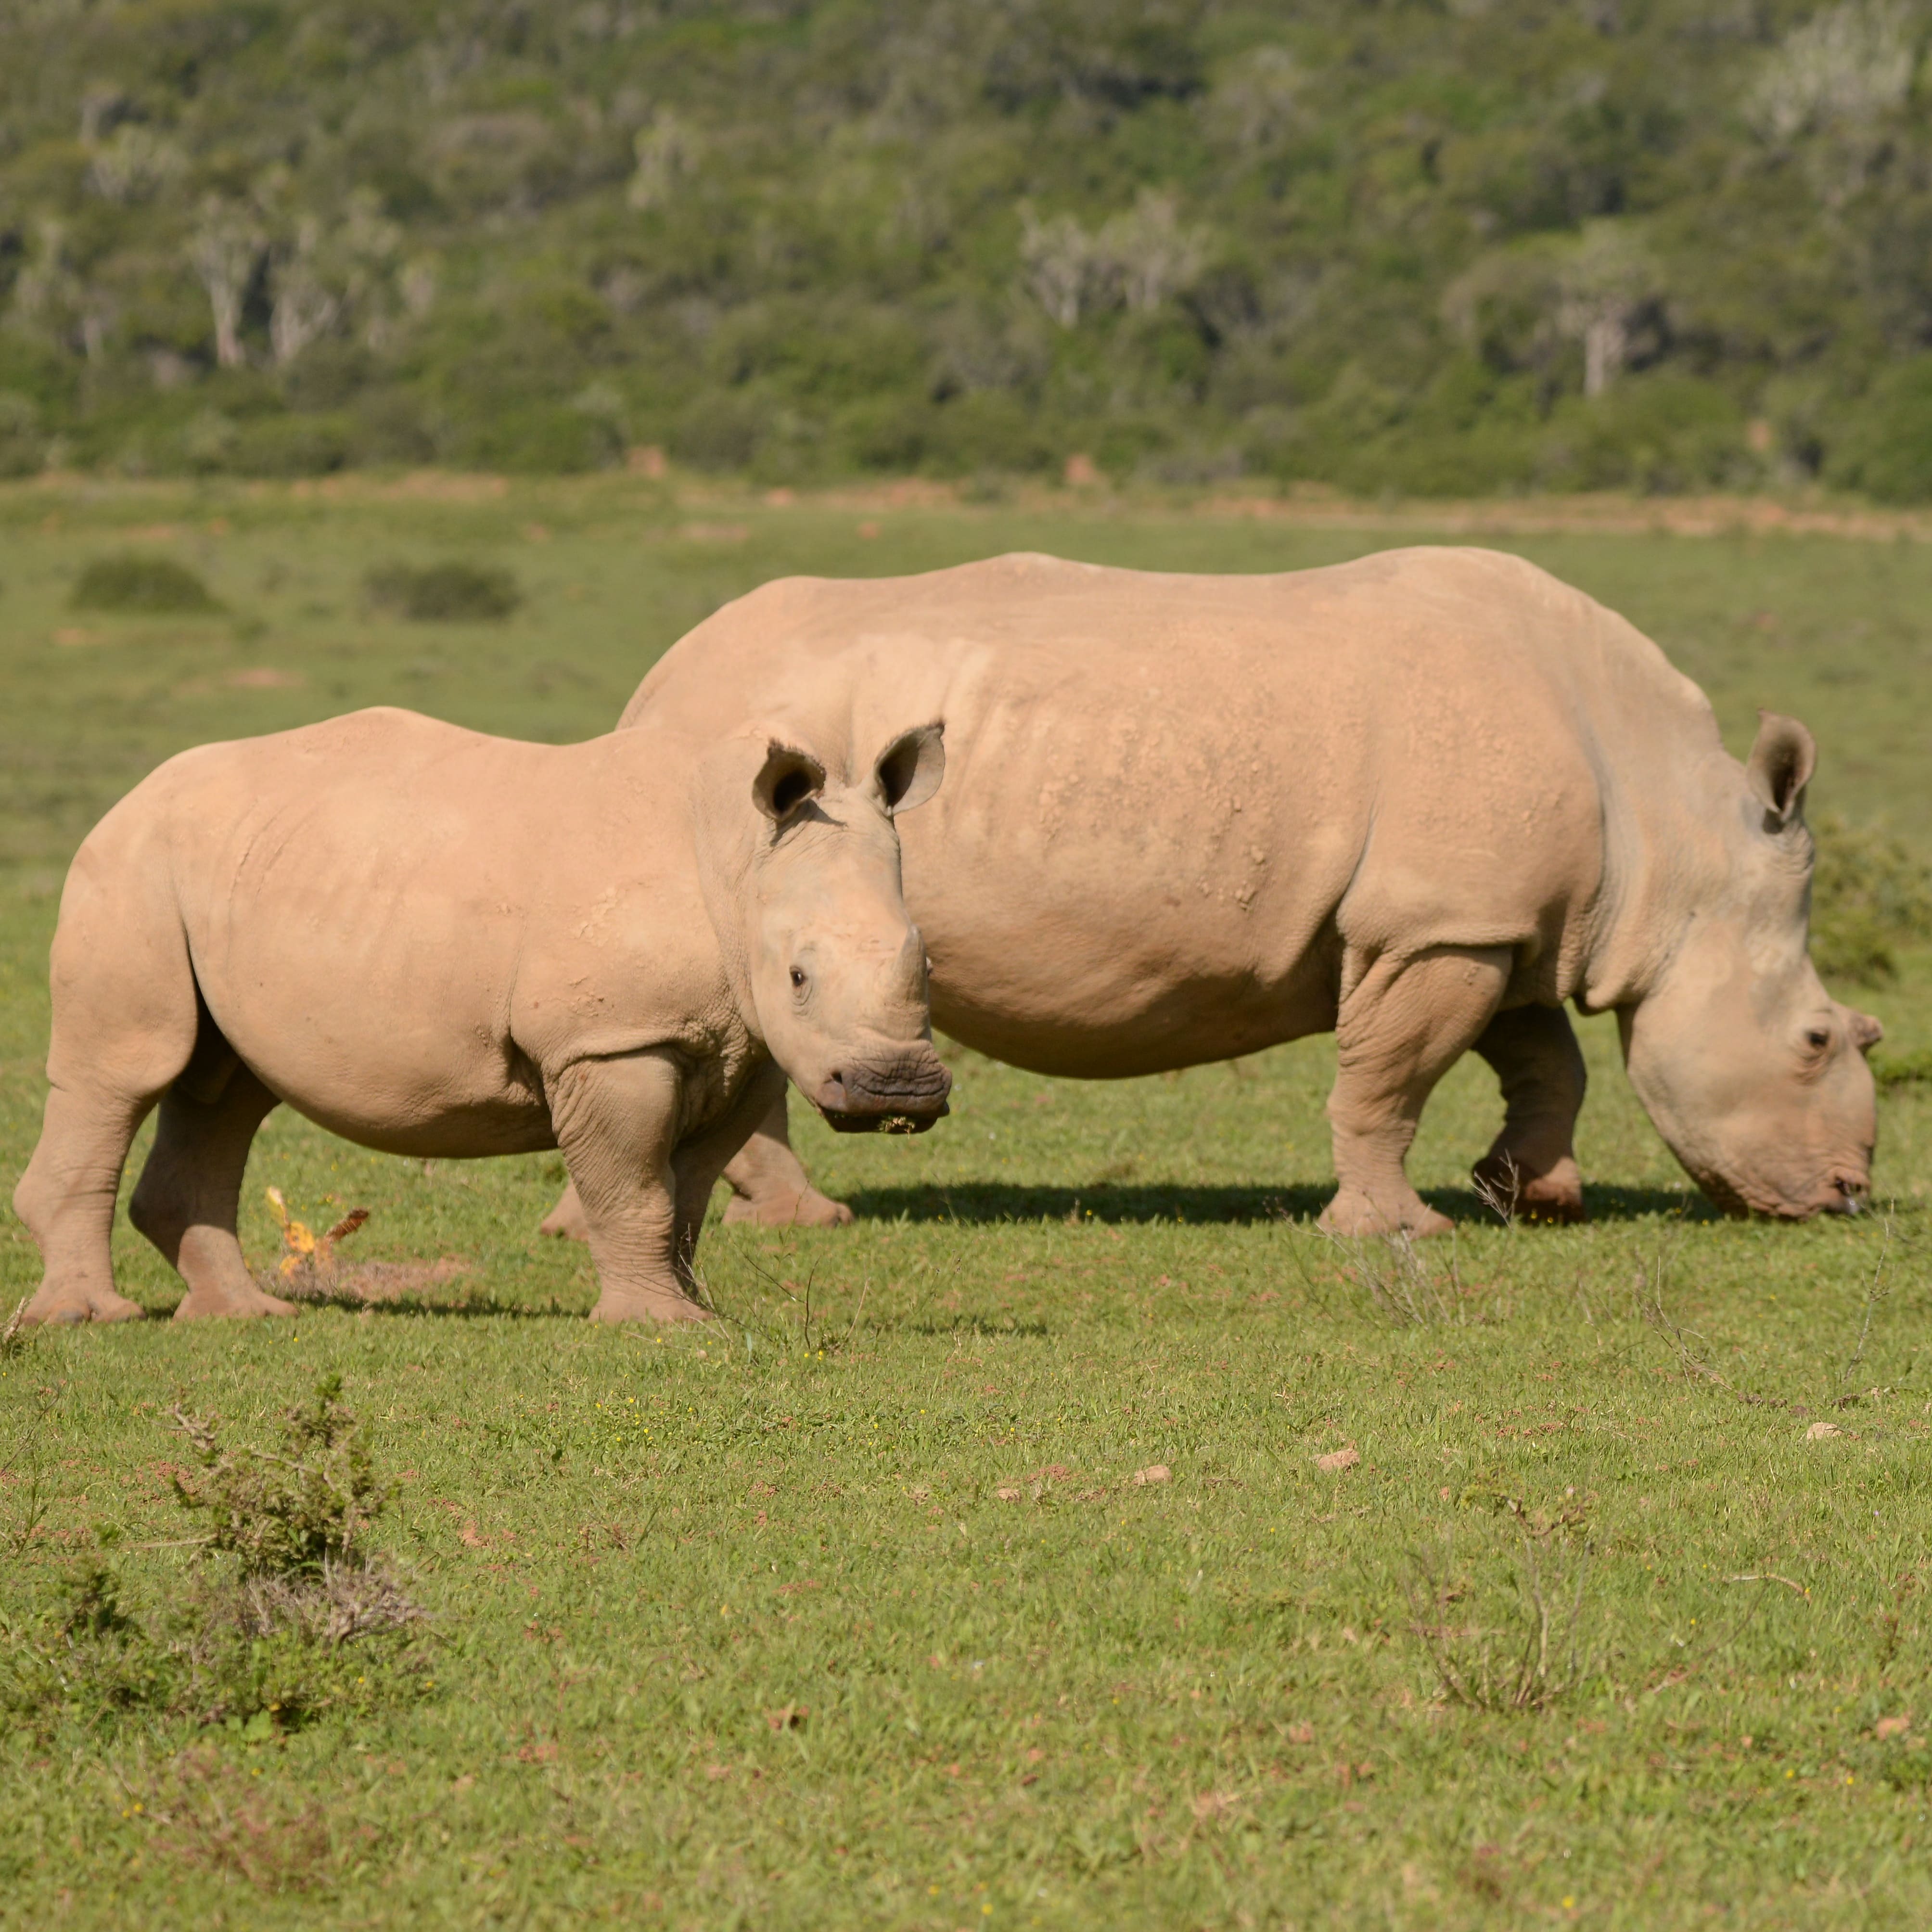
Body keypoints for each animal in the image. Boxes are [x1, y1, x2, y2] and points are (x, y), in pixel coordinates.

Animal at [13, 700, 948, 1326]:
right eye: (798, 976)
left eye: (928, 962)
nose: (899, 1093)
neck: (738, 858)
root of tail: (132, 795)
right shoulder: (610, 1042)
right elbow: (636, 1189)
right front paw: (656, 1327)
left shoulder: (739, 1044)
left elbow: (685, 1195)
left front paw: (692, 1313)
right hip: (130, 865)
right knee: (126, 1073)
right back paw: (90, 1319)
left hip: (224, 873)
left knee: (226, 1092)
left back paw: (245, 1316)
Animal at [543, 547, 1879, 1240]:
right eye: (1817, 1039)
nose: (1845, 1197)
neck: (1672, 830)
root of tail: (659, 680)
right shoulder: (1438, 924)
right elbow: (1390, 1079)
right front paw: (1399, 1232)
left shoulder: (1489, 918)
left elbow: (1547, 1060)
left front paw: (1530, 1196)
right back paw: (803, 1221)